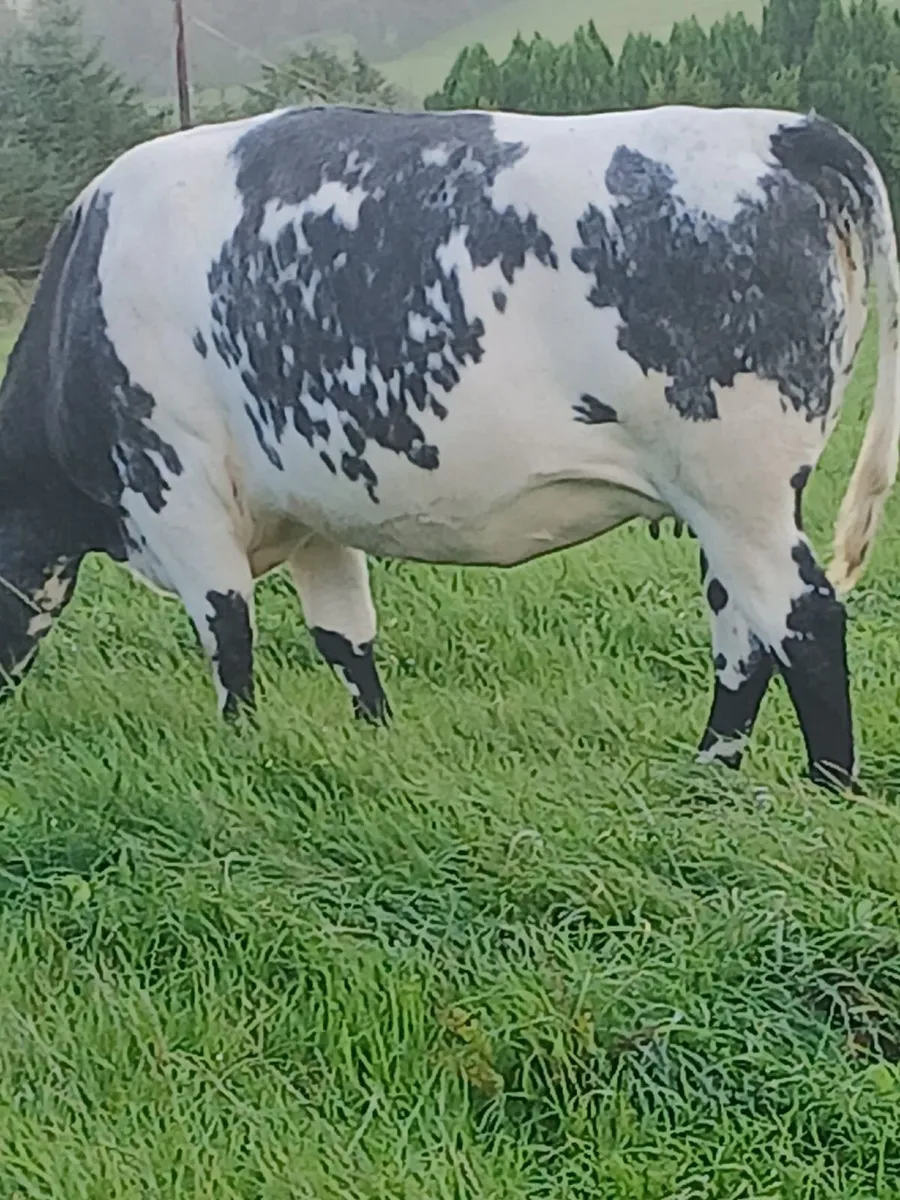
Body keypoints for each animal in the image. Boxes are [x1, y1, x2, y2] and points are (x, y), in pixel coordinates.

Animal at [0, 102, 897, 791]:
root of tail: (782, 131)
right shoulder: (315, 508)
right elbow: (345, 638)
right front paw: (375, 742)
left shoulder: (176, 492)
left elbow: (229, 638)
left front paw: (238, 753)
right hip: (725, 505)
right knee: (743, 635)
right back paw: (708, 775)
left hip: (738, 490)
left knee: (805, 623)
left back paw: (828, 789)